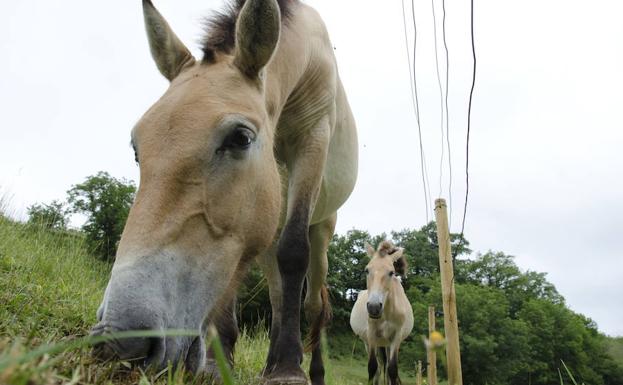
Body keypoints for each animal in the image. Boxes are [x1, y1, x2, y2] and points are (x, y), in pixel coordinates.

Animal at [90, 0, 358, 384]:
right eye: (137, 148)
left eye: (241, 138)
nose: (121, 341)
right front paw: (220, 361)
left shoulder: (313, 139)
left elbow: (293, 253)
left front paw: (288, 369)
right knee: (278, 295)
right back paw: (269, 362)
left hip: (322, 229)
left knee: (314, 304)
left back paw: (308, 369)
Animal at [352, 240, 414, 384]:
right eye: (367, 270)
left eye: (391, 272)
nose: (374, 307)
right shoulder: (371, 334)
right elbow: (372, 367)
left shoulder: (396, 336)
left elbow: (392, 370)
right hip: (369, 343)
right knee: (379, 369)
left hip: (387, 344)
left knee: (386, 369)